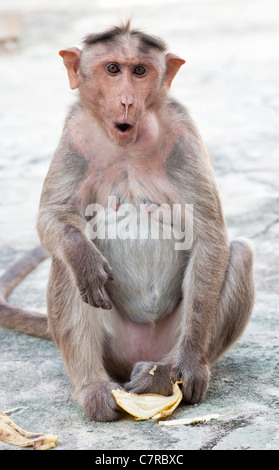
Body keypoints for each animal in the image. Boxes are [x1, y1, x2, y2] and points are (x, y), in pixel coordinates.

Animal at [0, 22, 256, 424]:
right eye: (112, 69)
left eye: (139, 71)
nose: (126, 102)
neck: (126, 143)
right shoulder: (74, 132)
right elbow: (54, 216)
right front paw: (82, 256)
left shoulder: (184, 129)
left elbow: (209, 234)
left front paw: (188, 366)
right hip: (112, 344)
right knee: (65, 266)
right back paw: (92, 387)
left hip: (166, 339)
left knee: (240, 253)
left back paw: (163, 375)